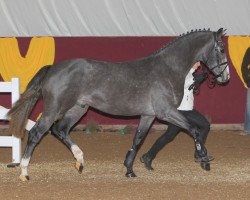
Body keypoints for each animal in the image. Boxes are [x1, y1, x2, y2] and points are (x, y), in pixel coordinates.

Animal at [7, 27, 230, 180]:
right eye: (220, 48)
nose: (225, 78)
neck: (167, 69)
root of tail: (53, 68)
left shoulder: (148, 115)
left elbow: (138, 140)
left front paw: (129, 169)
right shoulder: (166, 112)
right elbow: (194, 130)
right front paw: (204, 159)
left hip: (78, 109)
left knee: (59, 130)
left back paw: (80, 161)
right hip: (54, 109)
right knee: (37, 133)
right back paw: (24, 172)